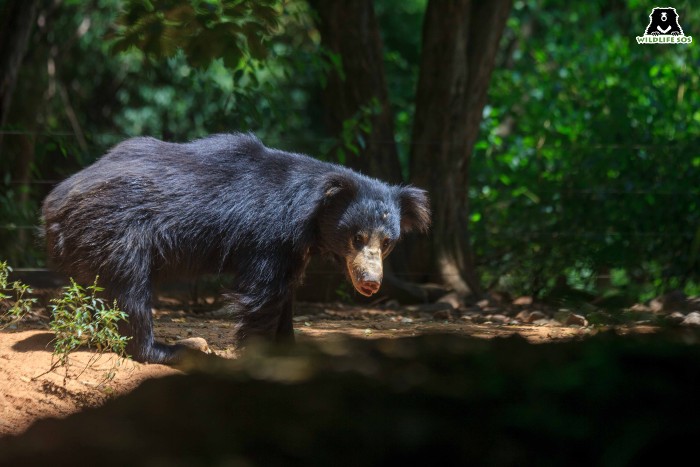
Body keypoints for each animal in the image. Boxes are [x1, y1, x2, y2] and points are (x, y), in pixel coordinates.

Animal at [42, 133, 432, 364]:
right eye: (357, 238)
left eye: (387, 242)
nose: (370, 283)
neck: (311, 212)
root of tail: (53, 204)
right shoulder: (268, 235)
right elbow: (264, 295)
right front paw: (260, 353)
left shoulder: (293, 250)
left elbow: (285, 295)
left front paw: (289, 349)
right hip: (115, 231)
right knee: (129, 291)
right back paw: (163, 350)